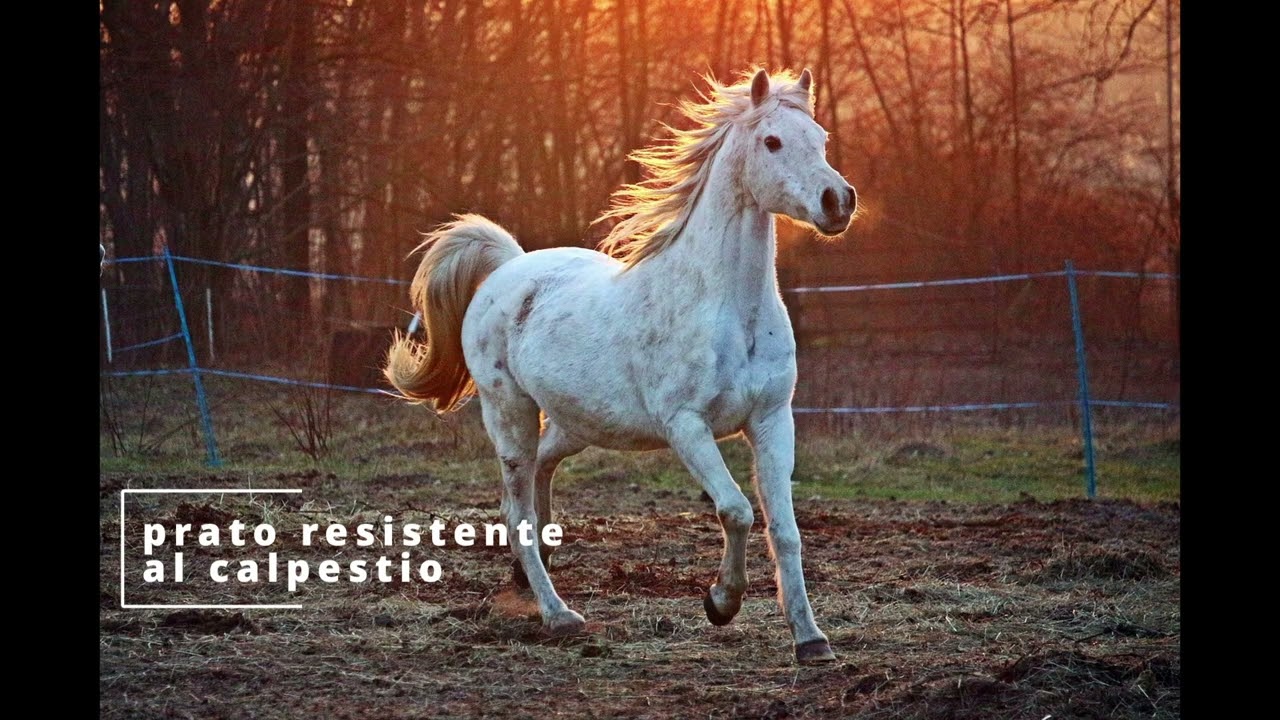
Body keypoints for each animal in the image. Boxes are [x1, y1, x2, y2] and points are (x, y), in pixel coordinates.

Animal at [385, 68, 857, 664]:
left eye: (820, 138)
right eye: (771, 141)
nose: (838, 201)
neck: (728, 308)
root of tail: (508, 268)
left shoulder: (772, 420)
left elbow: (786, 530)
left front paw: (811, 640)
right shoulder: (686, 426)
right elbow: (737, 510)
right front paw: (720, 603)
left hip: (577, 422)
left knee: (540, 473)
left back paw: (528, 575)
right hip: (509, 413)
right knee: (516, 512)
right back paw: (559, 615)